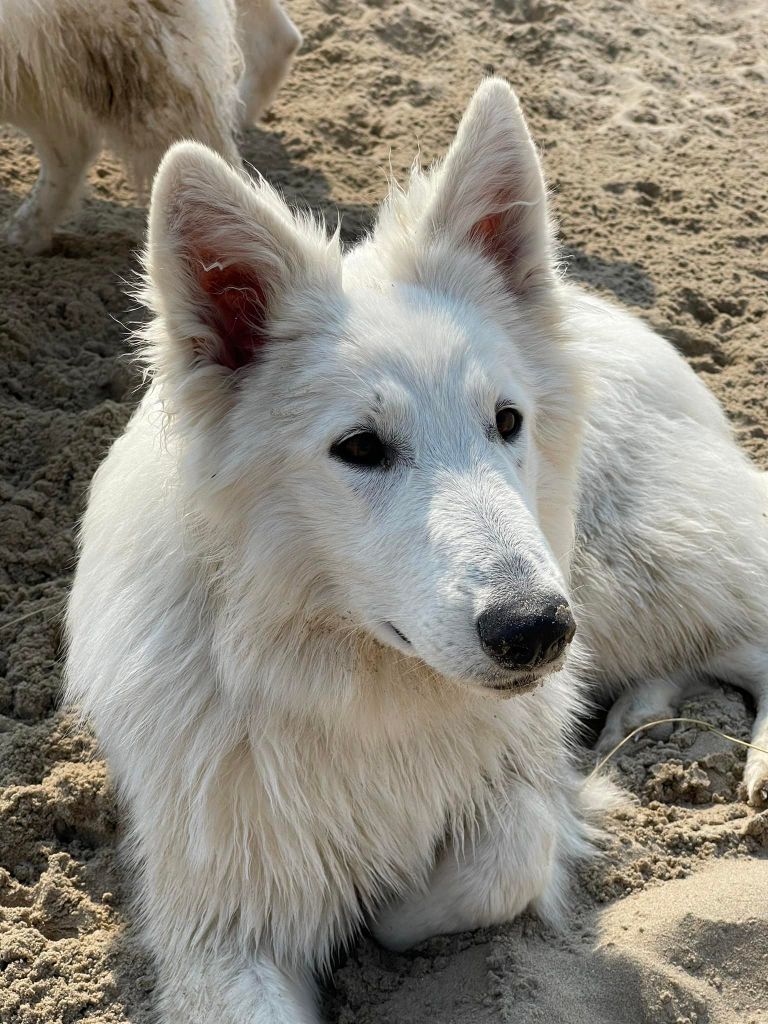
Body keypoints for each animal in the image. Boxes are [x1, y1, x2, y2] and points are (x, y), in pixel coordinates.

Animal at [66, 75, 768, 1019]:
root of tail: (593, 304)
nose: (535, 630)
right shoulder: (219, 933)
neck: (357, 687)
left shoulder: (515, 778)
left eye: (506, 421)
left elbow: (504, 858)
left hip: (632, 573)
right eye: (360, 447)